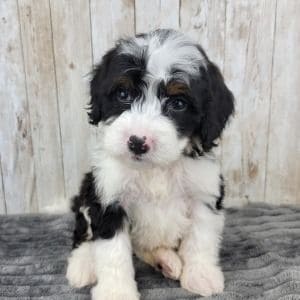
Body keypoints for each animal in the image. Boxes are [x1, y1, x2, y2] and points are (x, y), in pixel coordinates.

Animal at [66, 28, 234, 300]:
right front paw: (116, 292)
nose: (137, 142)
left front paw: (200, 275)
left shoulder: (204, 193)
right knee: (83, 234)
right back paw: (82, 265)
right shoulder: (108, 198)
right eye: (123, 94)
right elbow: (112, 254)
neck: (155, 169)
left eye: (178, 103)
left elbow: (201, 238)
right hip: (86, 190)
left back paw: (166, 260)